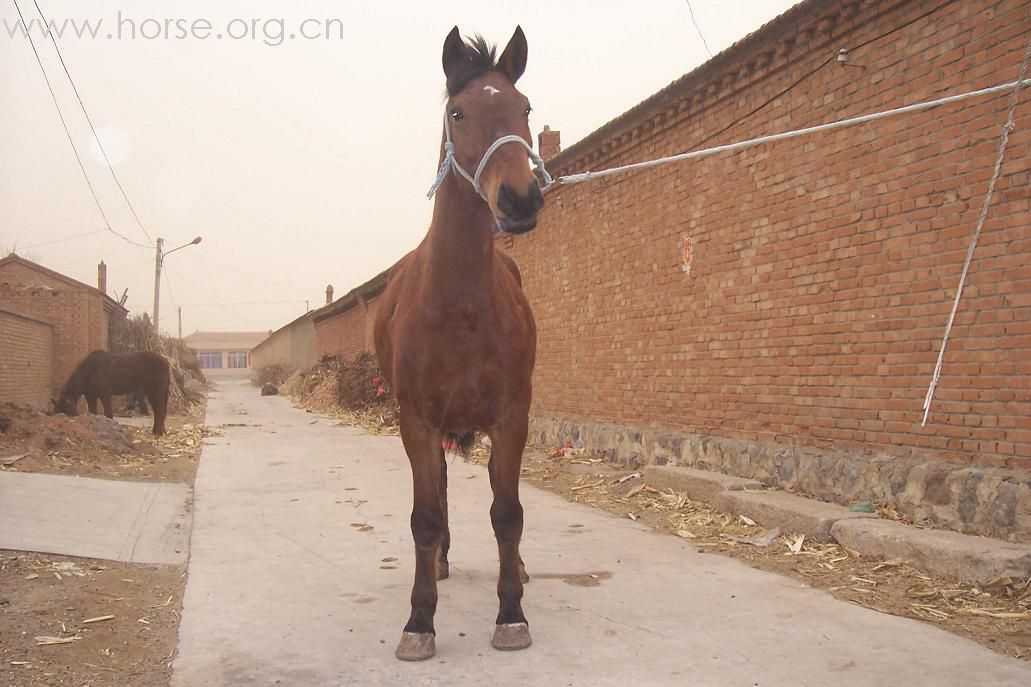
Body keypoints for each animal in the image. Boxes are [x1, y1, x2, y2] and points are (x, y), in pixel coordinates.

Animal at [373, 26, 548, 660]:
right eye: (458, 111)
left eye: (525, 109)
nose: (520, 199)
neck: (462, 308)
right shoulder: (417, 420)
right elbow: (425, 516)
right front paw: (419, 622)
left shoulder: (512, 416)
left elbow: (508, 513)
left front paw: (511, 613)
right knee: (442, 495)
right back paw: (442, 564)